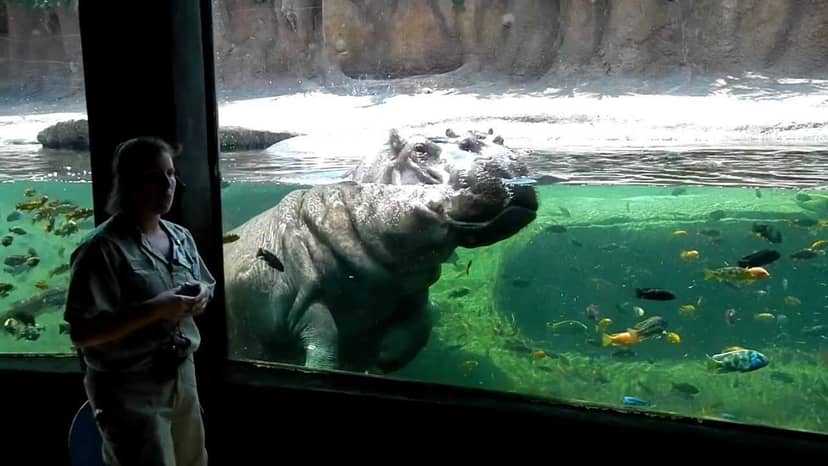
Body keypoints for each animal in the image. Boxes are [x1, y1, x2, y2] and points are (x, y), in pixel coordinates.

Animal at [222, 128, 537, 374]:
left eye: (497, 136)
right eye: (419, 149)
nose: (500, 155)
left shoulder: (410, 293)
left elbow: (422, 325)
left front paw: (381, 359)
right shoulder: (301, 297)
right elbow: (325, 340)